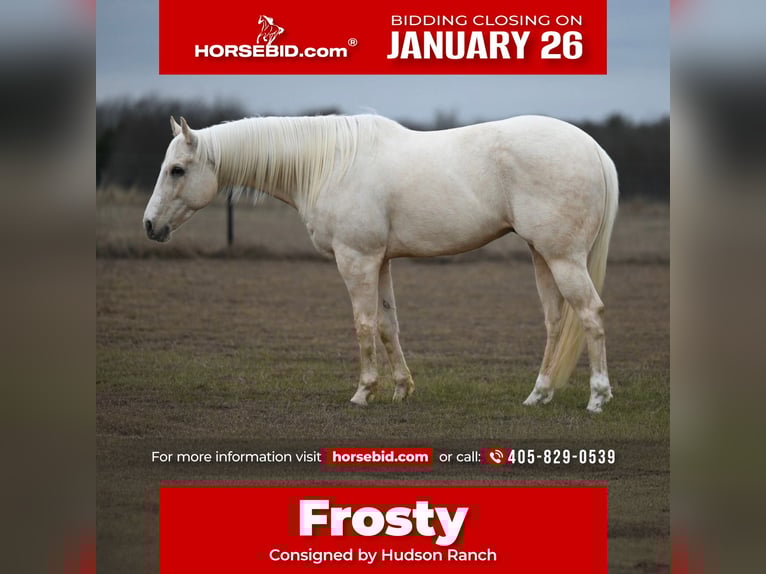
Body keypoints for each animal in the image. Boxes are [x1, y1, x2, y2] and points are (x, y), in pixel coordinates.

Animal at [143, 114, 619, 412]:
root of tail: (593, 148)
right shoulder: (383, 261)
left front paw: (364, 391)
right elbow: (389, 325)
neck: (329, 164)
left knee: (591, 314)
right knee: (556, 321)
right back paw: (539, 394)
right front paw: (402, 389)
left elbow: (364, 324)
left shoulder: (357, 259)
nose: (150, 225)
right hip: (542, 255)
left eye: (178, 169)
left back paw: (597, 397)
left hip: (562, 257)